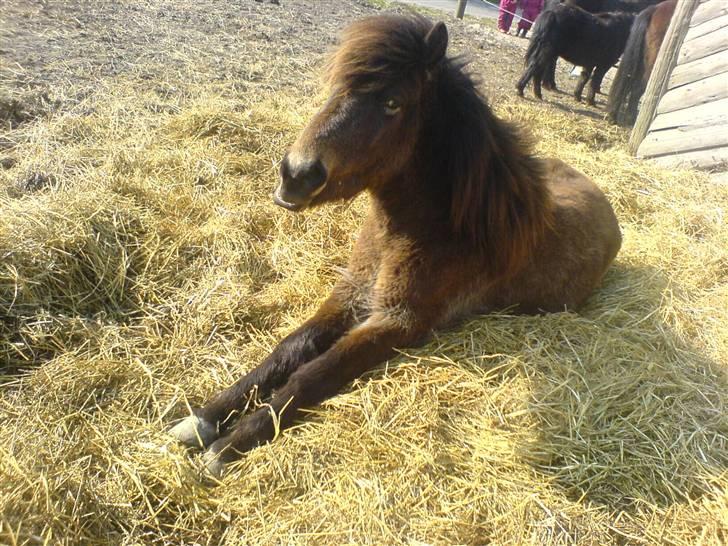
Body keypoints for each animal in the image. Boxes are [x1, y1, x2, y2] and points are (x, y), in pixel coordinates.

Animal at [169, 13, 620, 476]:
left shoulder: (399, 321)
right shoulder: (350, 294)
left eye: (393, 103)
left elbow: (314, 374)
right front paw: (202, 419)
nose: (296, 176)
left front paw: (228, 446)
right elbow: (290, 347)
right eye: (338, 87)